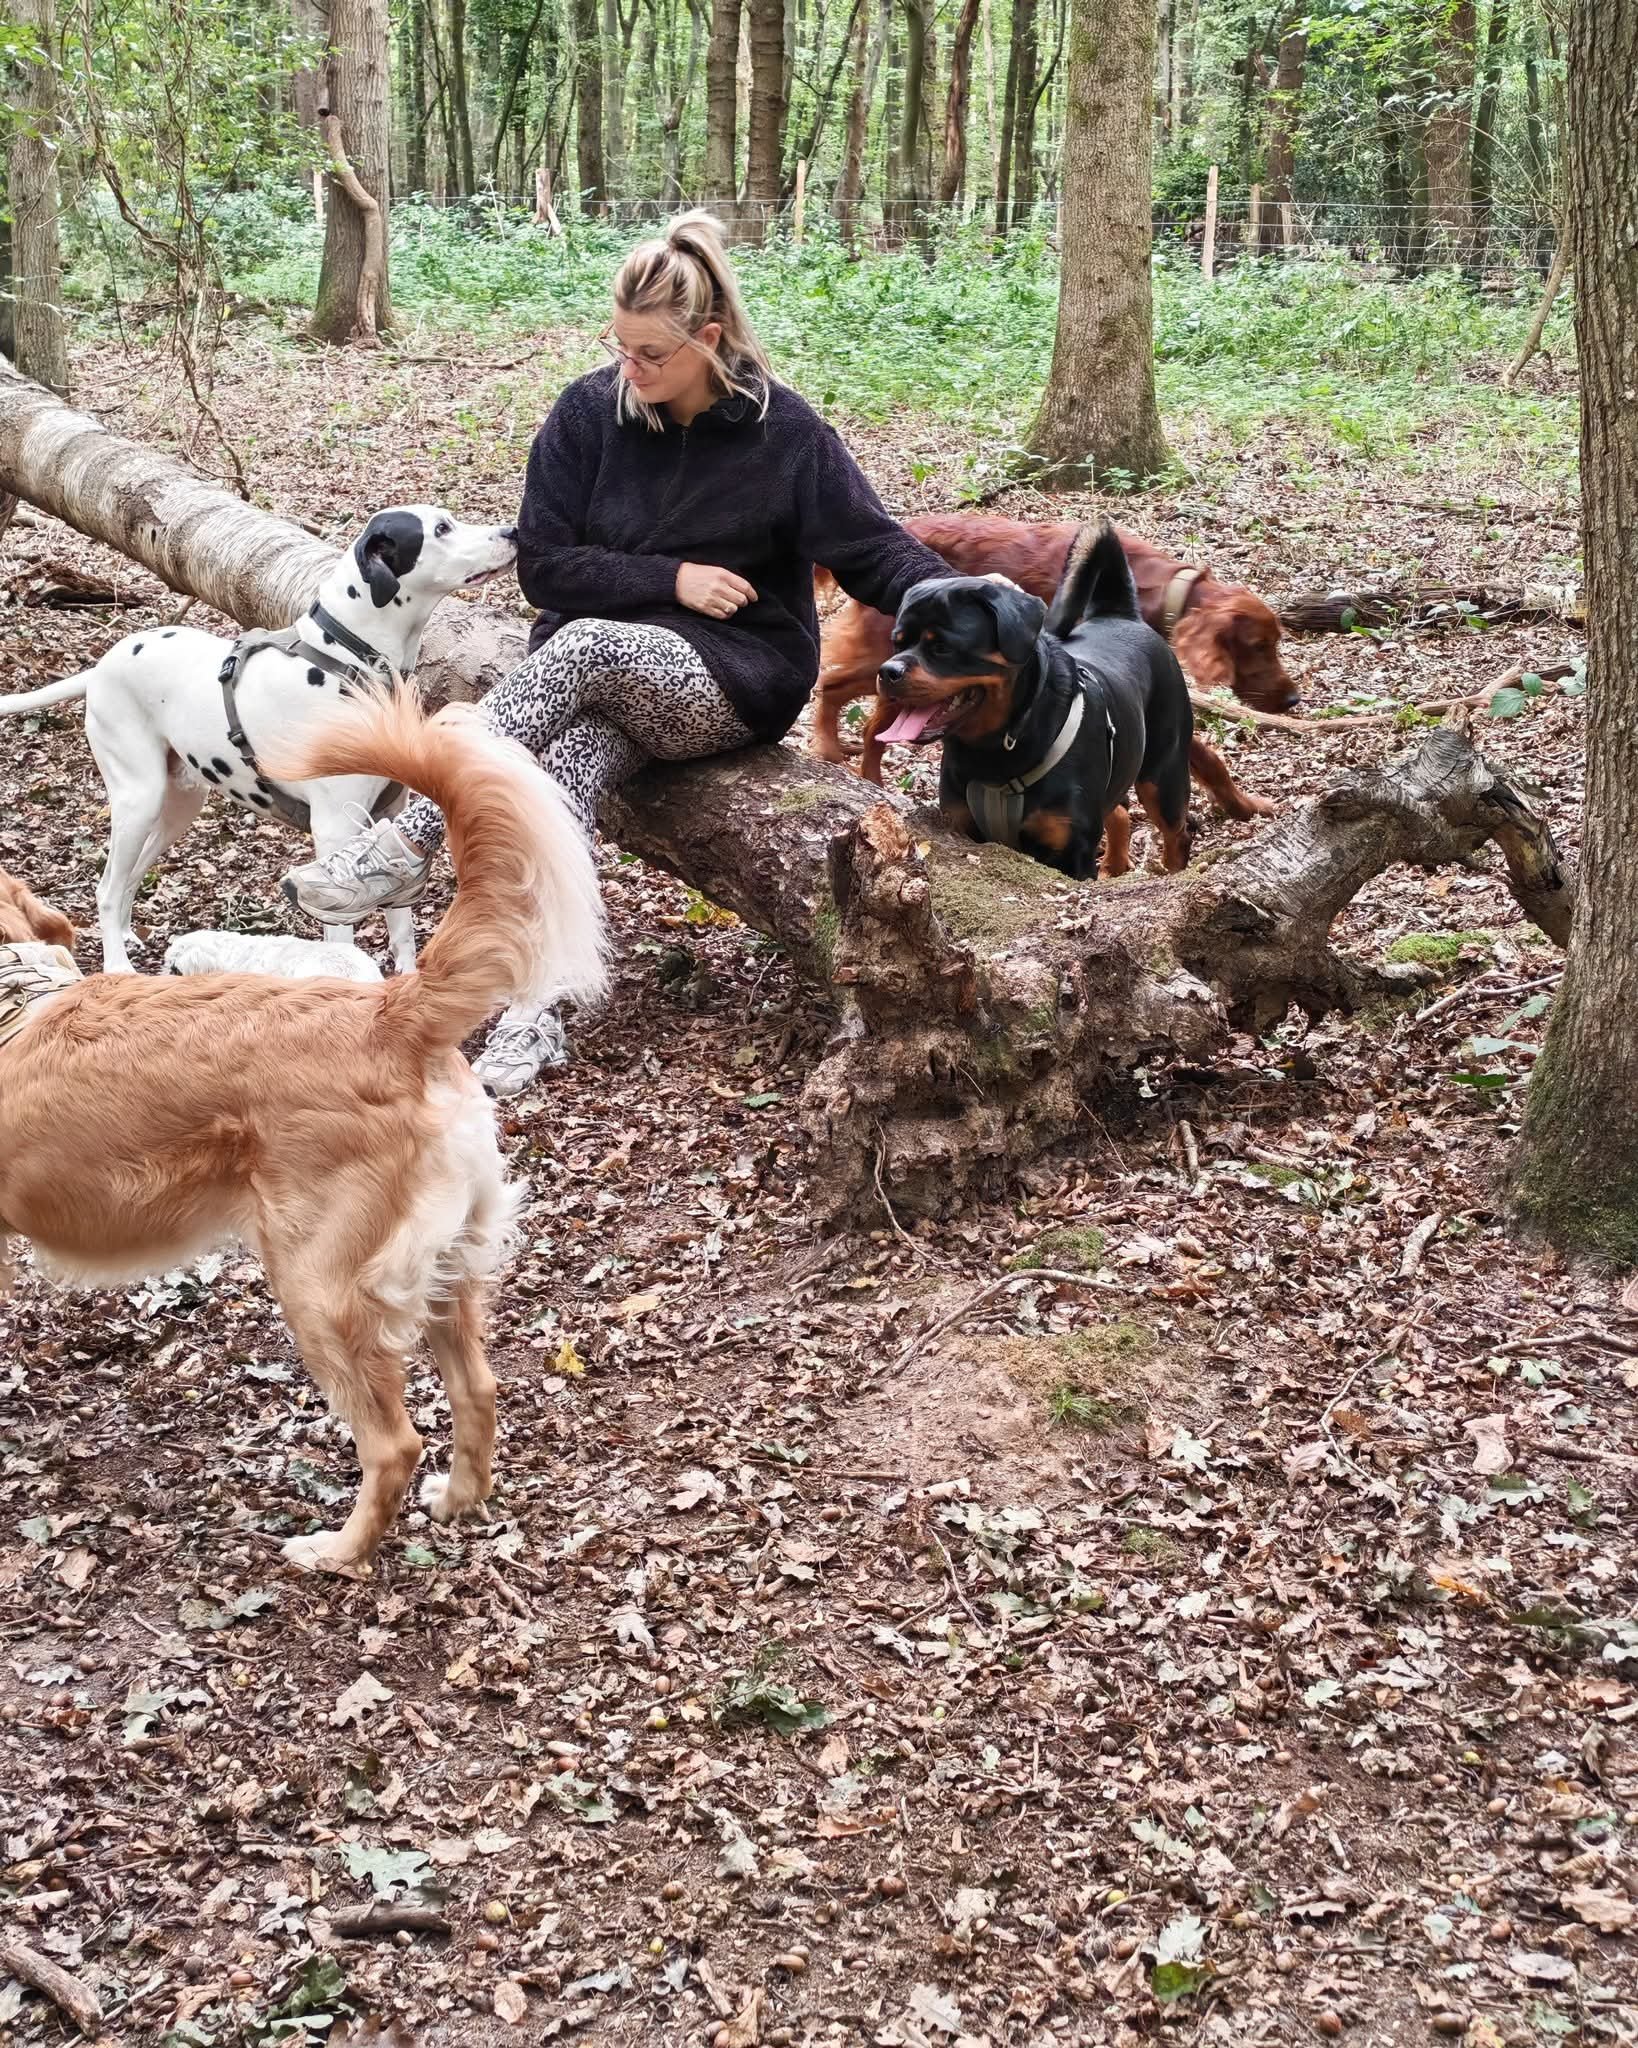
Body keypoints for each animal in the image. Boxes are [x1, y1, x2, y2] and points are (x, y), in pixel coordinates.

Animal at [0, 506, 517, 976]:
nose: (513, 531)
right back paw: (117, 966)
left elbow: (402, 926)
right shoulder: (334, 830)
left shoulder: (389, 817)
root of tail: (103, 663)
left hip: (177, 807)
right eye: (442, 528)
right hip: (138, 799)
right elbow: (342, 939)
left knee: (128, 876)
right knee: (107, 887)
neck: (349, 662)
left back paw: (127, 935)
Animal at [0, 688, 607, 1578]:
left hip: (317, 1288)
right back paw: (460, 1501)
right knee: (479, 1390)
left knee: (392, 1443)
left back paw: (337, 1551)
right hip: (446, 1269)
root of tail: (393, 1012)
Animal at [813, 513, 1288, 820]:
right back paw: (840, 758)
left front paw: (1246, 805)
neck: (1163, 591)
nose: (1294, 698)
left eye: (1276, 642)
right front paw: (1244, 805)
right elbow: (1205, 756)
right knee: (842, 697)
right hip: (898, 665)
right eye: (1259, 646)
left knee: (859, 711)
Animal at [872, 520, 1193, 881]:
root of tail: (1121, 614)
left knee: (1177, 831)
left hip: (1163, 775)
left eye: (941, 647)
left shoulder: (1072, 853)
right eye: (897, 642)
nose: (888, 671)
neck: (991, 750)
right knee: (1120, 810)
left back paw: (1175, 871)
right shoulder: (961, 827)